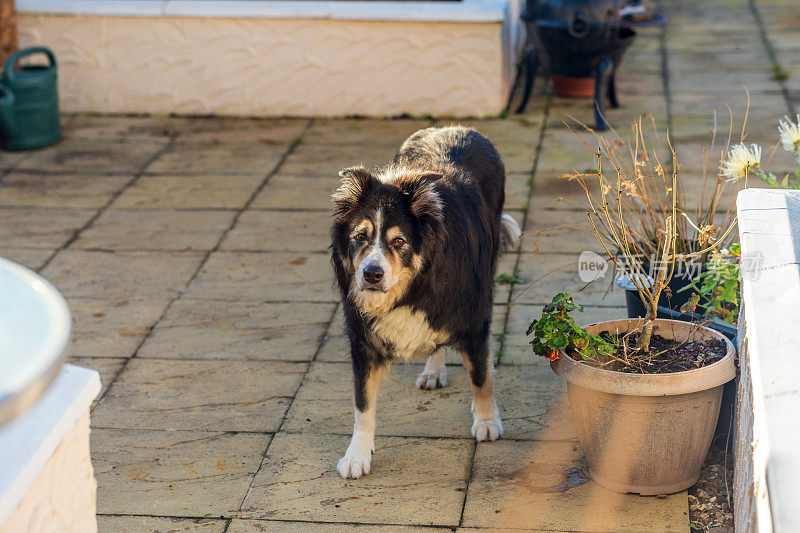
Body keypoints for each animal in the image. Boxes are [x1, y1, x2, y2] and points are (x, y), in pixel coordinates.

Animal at [330, 125, 520, 478]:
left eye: (399, 241)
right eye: (360, 237)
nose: (371, 274)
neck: (414, 285)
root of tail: (457, 128)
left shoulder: (473, 317)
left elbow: (480, 377)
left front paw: (487, 421)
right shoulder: (362, 337)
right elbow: (362, 402)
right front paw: (357, 454)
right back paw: (434, 370)